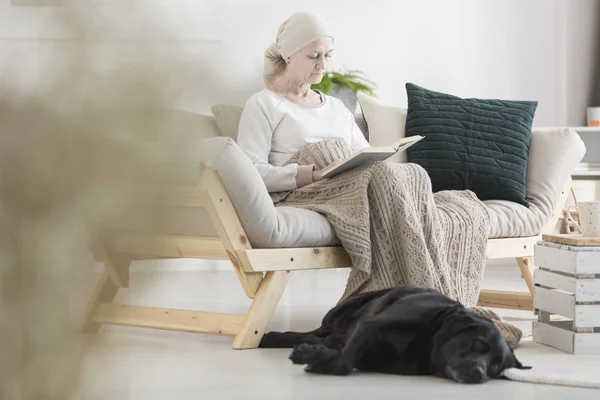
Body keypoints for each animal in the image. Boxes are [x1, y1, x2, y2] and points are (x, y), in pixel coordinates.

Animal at [258, 286, 528, 382]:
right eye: (478, 343)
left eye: (495, 368)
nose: (479, 373)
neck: (425, 342)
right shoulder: (370, 326)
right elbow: (344, 363)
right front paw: (313, 360)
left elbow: (341, 358)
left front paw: (316, 357)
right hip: (338, 314)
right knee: (315, 332)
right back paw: (270, 337)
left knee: (316, 337)